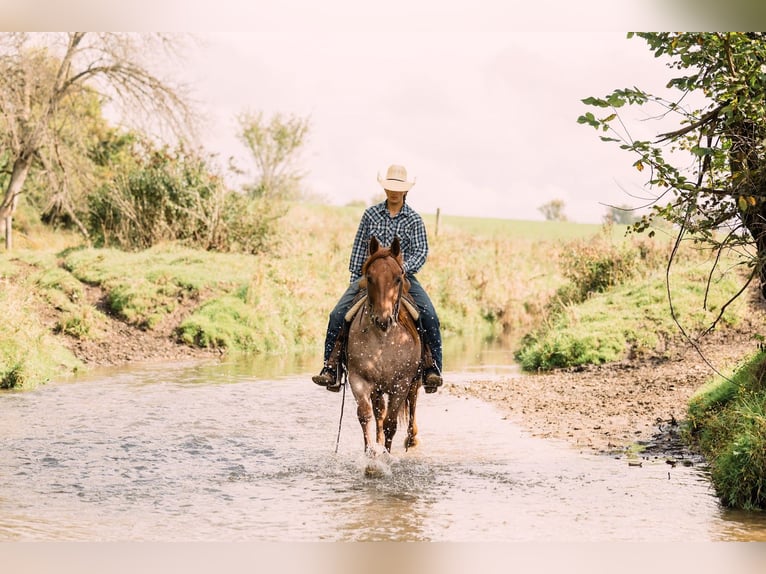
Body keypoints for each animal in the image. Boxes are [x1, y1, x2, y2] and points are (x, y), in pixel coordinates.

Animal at [345, 236, 422, 458]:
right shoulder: (359, 379)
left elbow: (391, 423)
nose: (383, 320)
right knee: (379, 412)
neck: (383, 340)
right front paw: (370, 454)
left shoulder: (401, 384)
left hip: (414, 381)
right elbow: (366, 415)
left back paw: (412, 439)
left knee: (412, 403)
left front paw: (386, 457)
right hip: (378, 388)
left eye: (398, 278)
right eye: (369, 278)